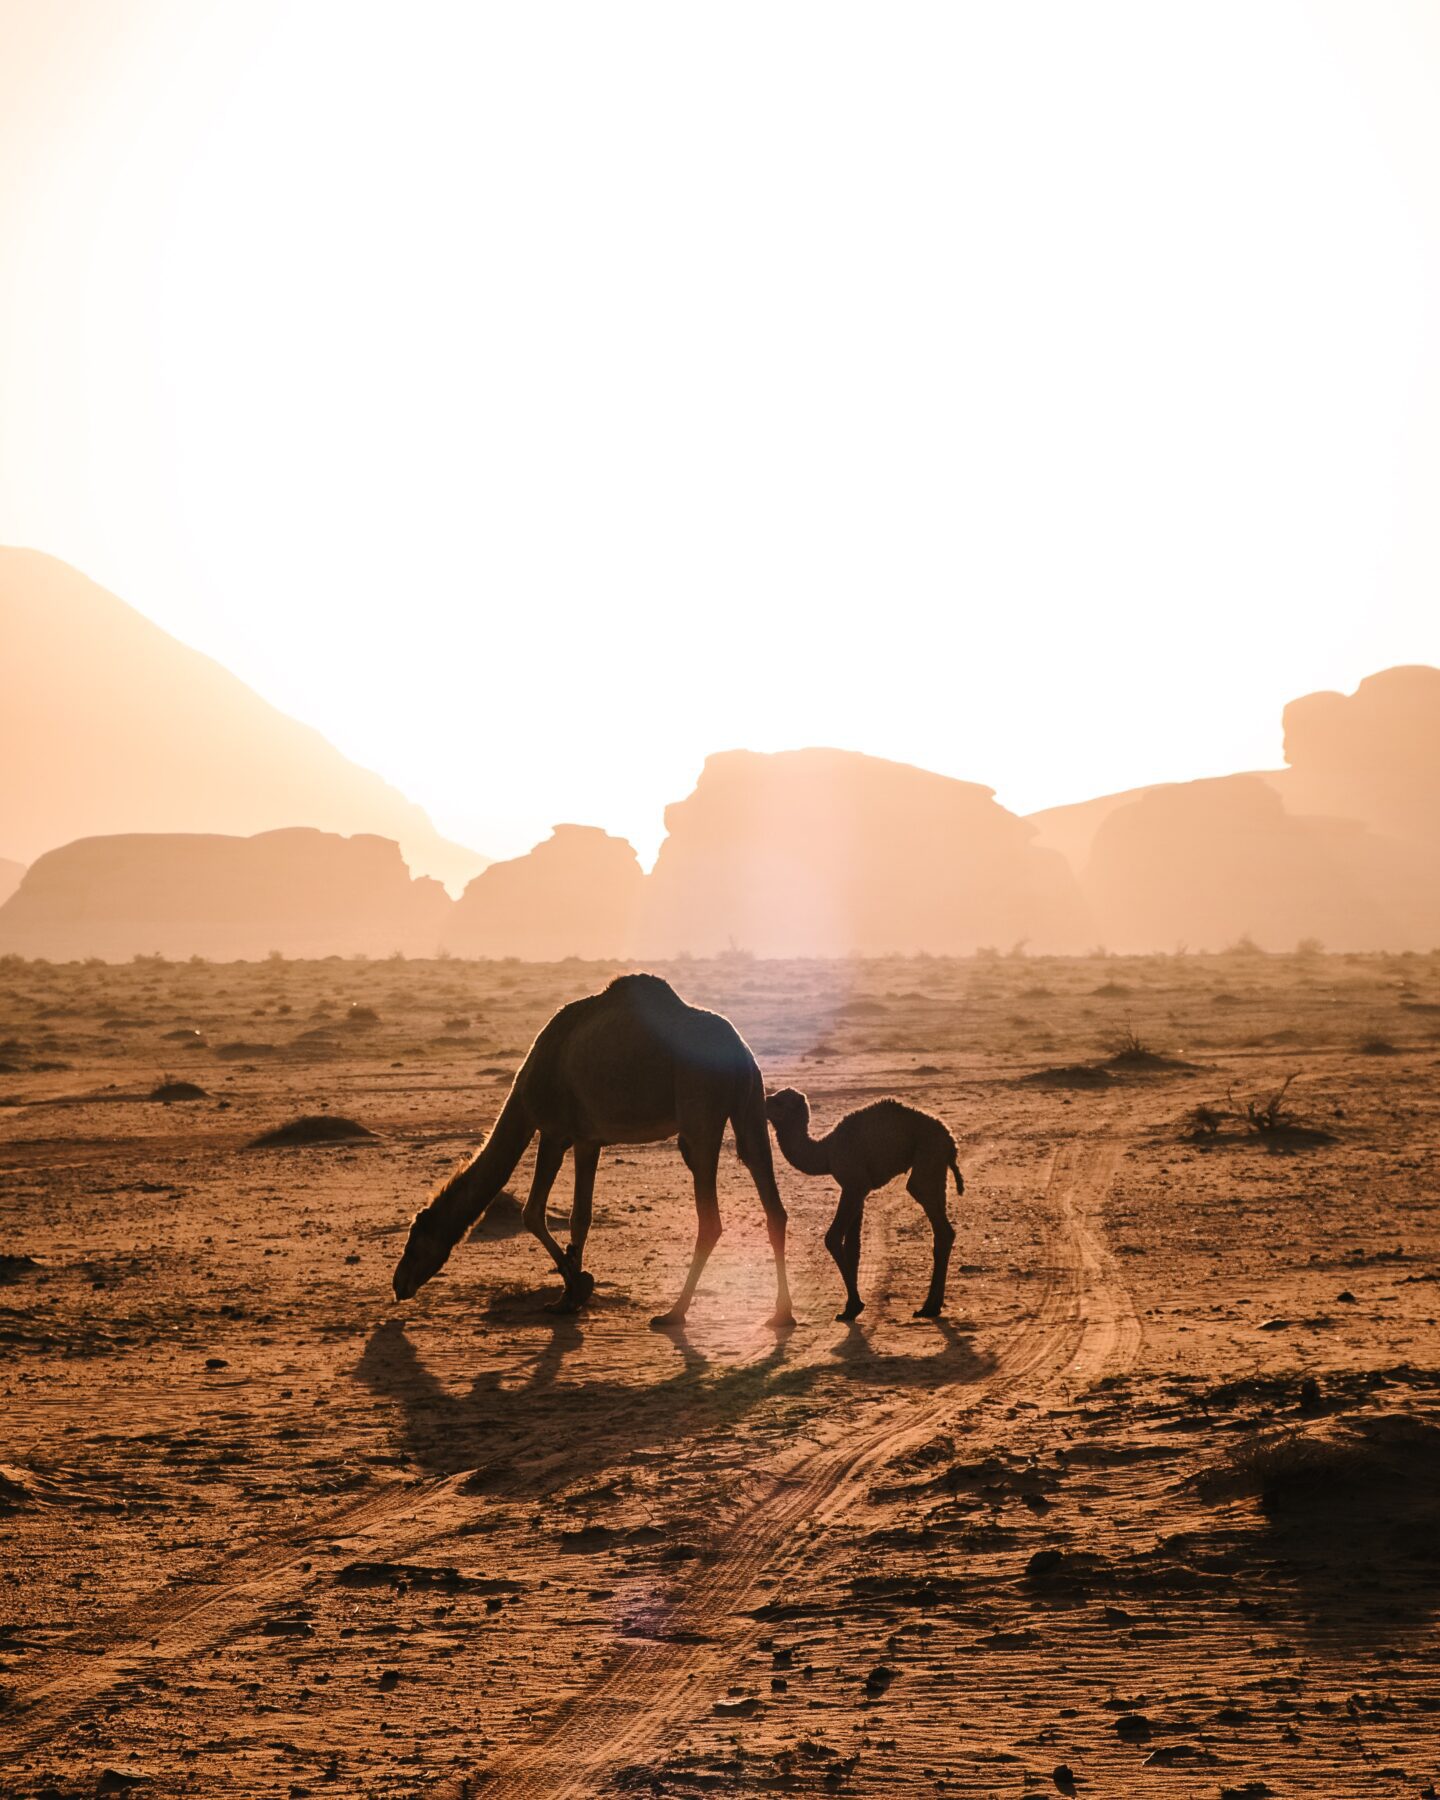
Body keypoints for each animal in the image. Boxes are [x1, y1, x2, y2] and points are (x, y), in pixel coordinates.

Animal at [394, 979, 792, 1332]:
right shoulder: (590, 1140)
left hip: (700, 1111)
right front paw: (573, 1291)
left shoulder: (556, 1131)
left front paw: (575, 1289)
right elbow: (580, 1216)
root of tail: (740, 1051)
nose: (398, 1284)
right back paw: (781, 1313)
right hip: (751, 1104)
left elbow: (534, 1213)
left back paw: (674, 1313)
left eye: (414, 1239)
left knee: (710, 1218)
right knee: (770, 1196)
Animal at [759, 1080, 964, 1324]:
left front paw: (854, 1305)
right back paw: (932, 1306)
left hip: (928, 1156)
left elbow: (833, 1238)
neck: (826, 1151)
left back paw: (928, 1307)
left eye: (779, 1101)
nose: (763, 1102)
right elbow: (853, 1246)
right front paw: (850, 1307)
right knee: (943, 1231)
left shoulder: (854, 1184)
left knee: (928, 1205)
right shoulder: (858, 1190)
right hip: (935, 1164)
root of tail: (951, 1141)